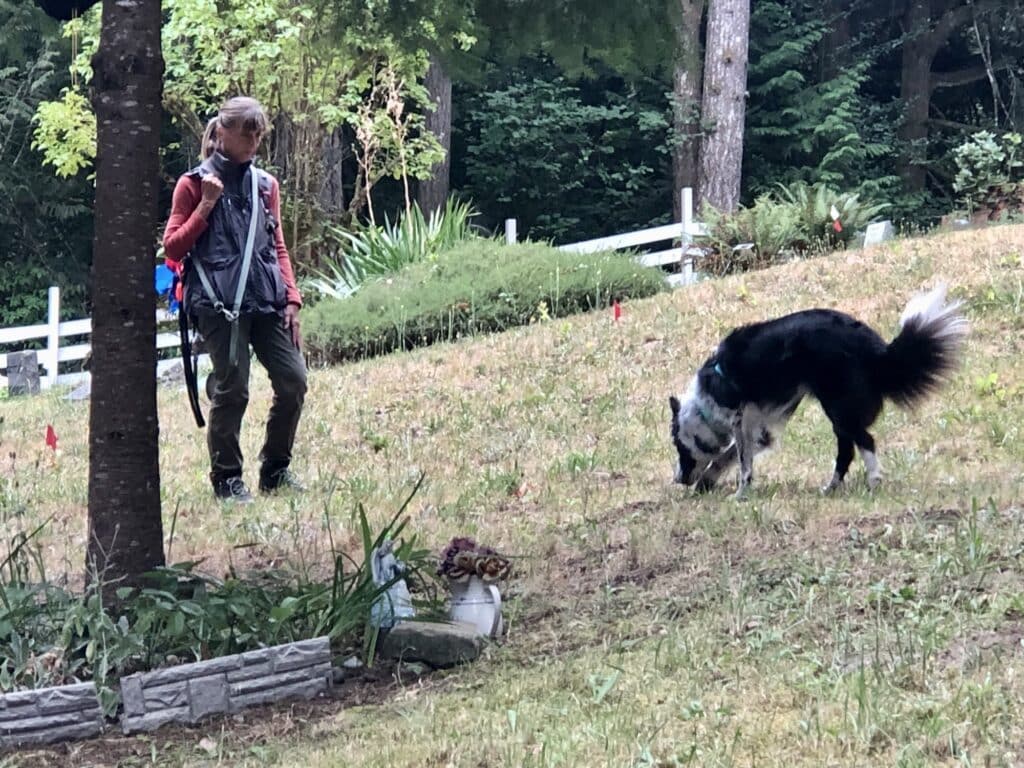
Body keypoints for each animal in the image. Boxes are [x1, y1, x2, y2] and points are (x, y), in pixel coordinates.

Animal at [671, 284, 966, 499]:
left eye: (679, 448)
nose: (678, 479)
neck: (705, 404)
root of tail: (873, 348)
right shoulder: (759, 428)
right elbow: (730, 456)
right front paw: (710, 481)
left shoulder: (740, 420)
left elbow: (741, 462)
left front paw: (740, 494)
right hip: (839, 411)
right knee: (848, 450)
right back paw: (831, 488)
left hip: (837, 406)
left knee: (864, 441)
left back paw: (872, 480)